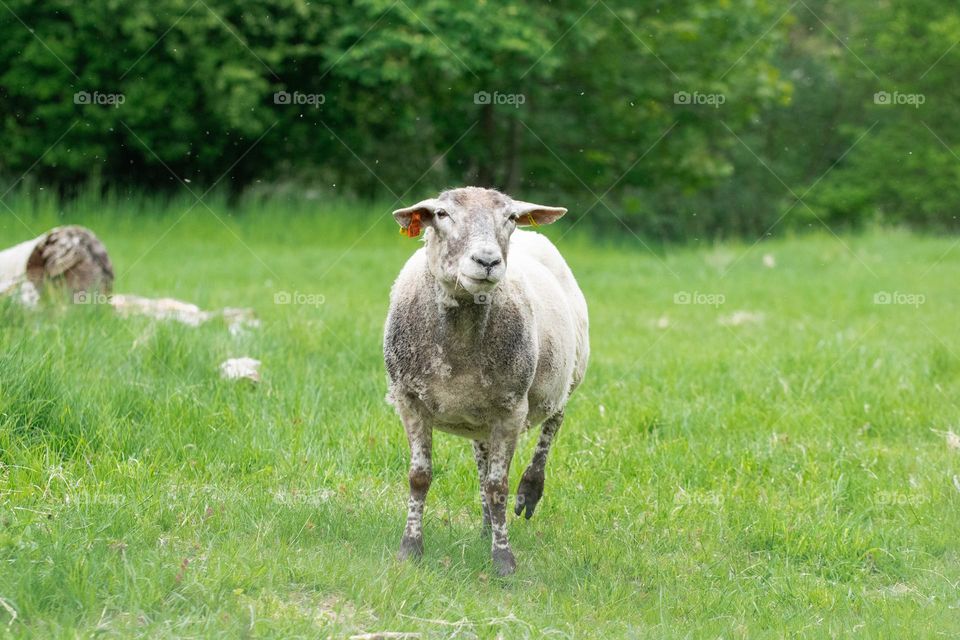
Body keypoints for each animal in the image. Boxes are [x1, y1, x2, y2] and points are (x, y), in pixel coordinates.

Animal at [380, 185, 588, 576]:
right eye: (442, 214)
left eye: (510, 217)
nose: (488, 261)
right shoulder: (408, 399)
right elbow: (420, 477)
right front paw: (409, 550)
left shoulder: (511, 408)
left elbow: (498, 486)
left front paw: (503, 561)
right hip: (477, 416)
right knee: (481, 458)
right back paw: (486, 525)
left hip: (568, 374)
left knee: (553, 423)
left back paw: (529, 491)